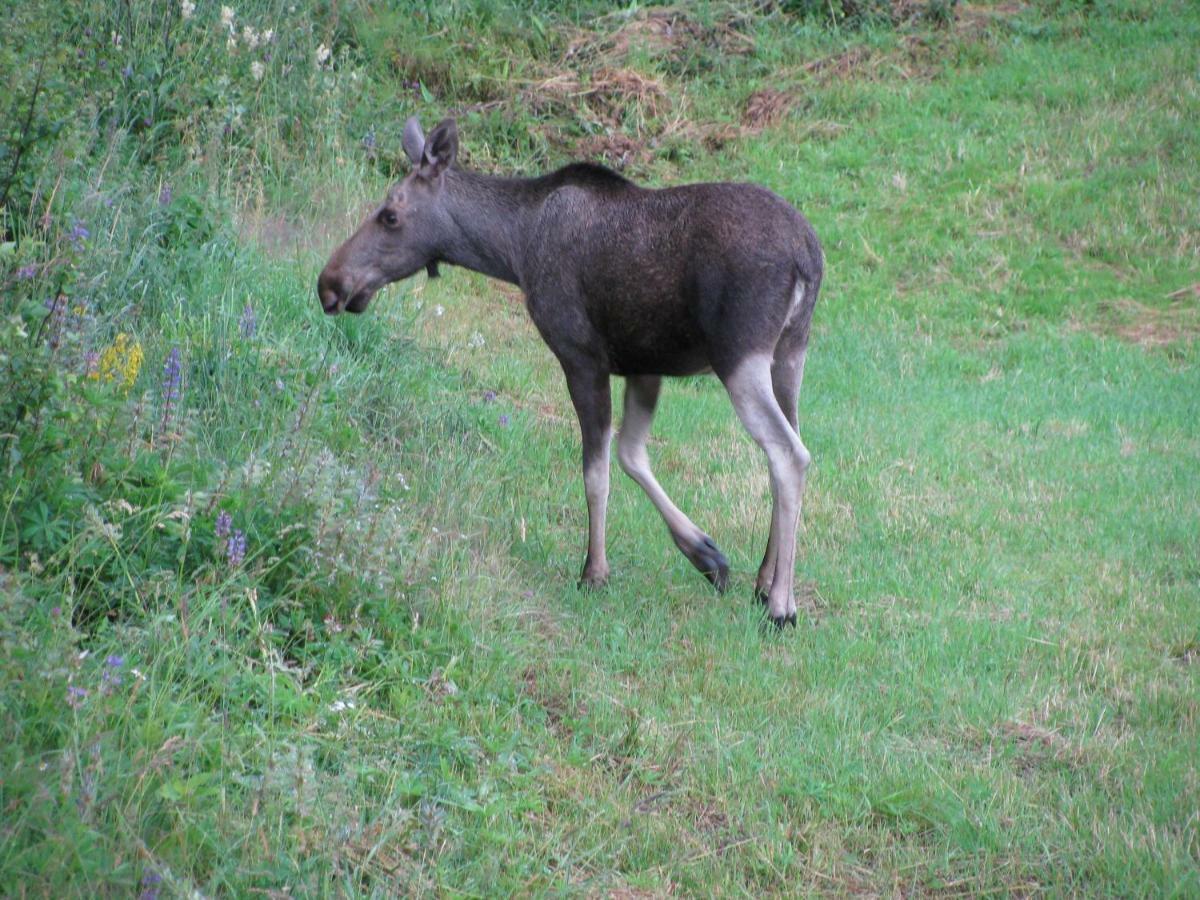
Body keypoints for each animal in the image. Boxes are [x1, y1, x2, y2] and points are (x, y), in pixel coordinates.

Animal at [319, 118, 825, 628]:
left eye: (389, 215)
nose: (330, 283)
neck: (514, 249)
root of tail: (808, 256)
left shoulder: (581, 355)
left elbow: (595, 472)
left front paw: (594, 572)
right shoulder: (643, 366)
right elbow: (631, 454)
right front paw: (705, 554)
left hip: (740, 356)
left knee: (790, 453)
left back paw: (782, 605)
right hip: (790, 355)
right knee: (785, 448)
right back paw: (763, 581)